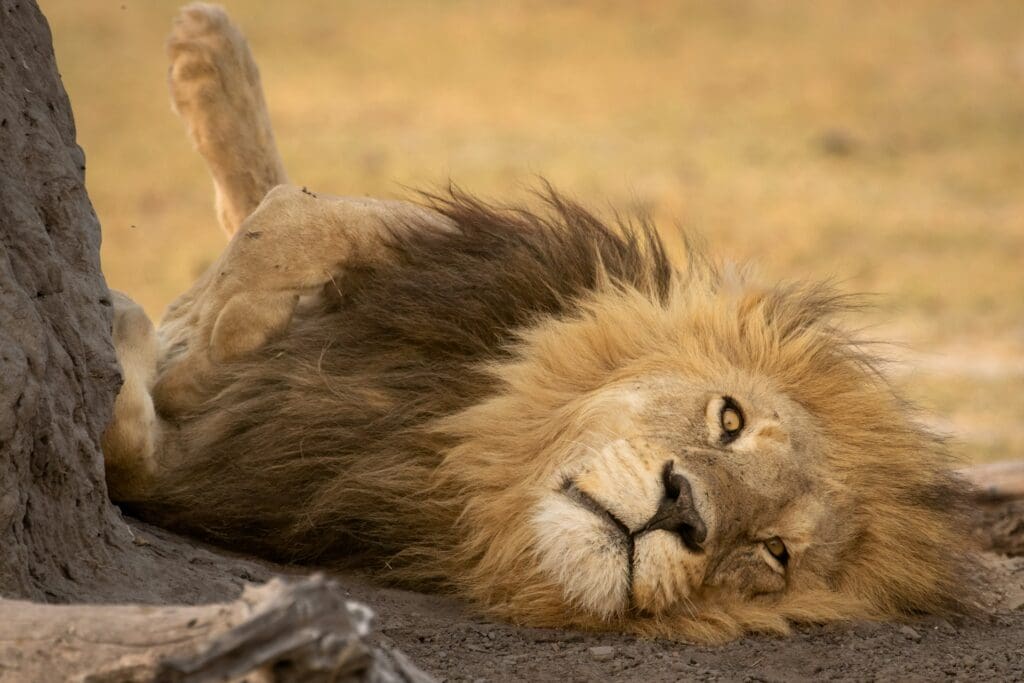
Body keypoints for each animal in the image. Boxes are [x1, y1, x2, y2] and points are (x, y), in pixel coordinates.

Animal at [102, 3, 976, 643]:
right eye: (729, 419)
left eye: (774, 551)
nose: (684, 510)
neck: (452, 444)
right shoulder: (486, 264)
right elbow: (298, 220)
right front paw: (194, 340)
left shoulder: (238, 482)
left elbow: (133, 442)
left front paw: (141, 338)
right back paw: (204, 43)